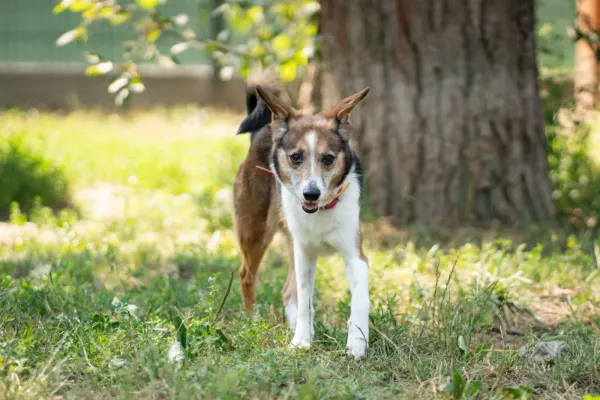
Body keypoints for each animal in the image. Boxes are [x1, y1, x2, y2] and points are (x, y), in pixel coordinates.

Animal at [233, 72, 370, 360]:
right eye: (296, 157)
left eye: (328, 158)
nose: (311, 193)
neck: (322, 210)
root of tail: (263, 131)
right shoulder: (304, 254)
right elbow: (305, 299)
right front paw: (301, 342)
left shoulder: (355, 256)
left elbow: (359, 300)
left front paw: (356, 343)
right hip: (255, 230)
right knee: (247, 274)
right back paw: (252, 321)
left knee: (287, 291)